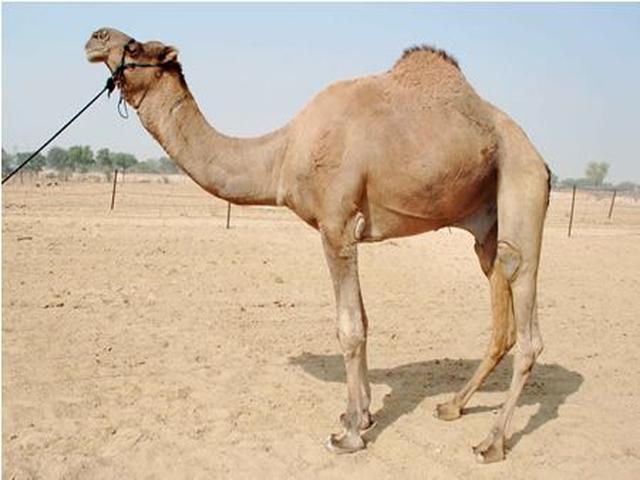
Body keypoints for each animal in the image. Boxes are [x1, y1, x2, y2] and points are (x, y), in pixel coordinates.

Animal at [85, 28, 550, 463]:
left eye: (136, 46)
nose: (95, 37)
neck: (282, 154)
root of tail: (541, 158)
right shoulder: (343, 231)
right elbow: (363, 320)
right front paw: (360, 415)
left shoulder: (337, 225)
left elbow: (349, 327)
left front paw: (349, 435)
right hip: (486, 219)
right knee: (499, 302)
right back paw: (452, 406)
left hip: (521, 180)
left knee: (522, 291)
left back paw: (491, 442)